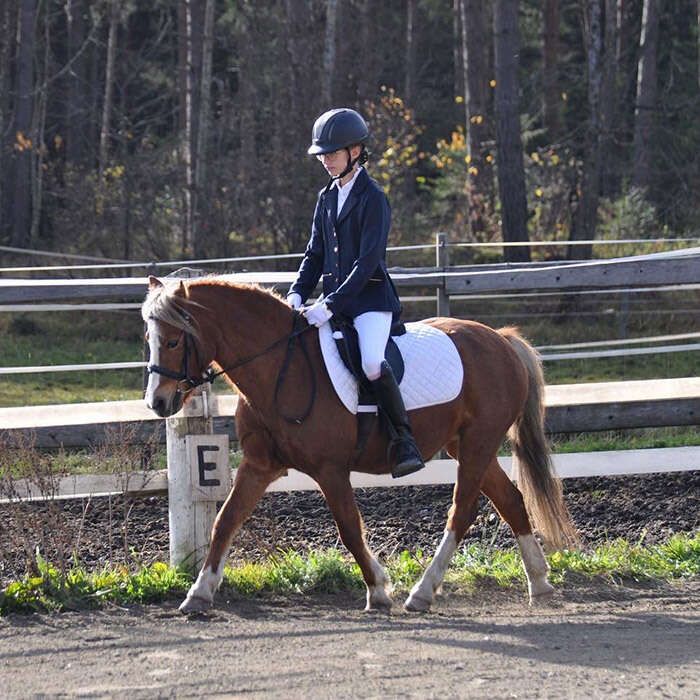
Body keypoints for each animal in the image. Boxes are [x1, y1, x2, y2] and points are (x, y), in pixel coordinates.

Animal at [142, 276, 576, 616]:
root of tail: (500, 339)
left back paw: (422, 592)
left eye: (175, 341)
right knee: (511, 500)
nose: (157, 403)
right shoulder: (258, 465)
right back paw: (539, 582)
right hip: (467, 446)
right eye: (150, 339)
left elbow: (350, 528)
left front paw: (379, 590)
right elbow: (225, 520)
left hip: (478, 444)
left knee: (463, 510)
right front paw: (199, 593)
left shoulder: (330, 469)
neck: (282, 365)